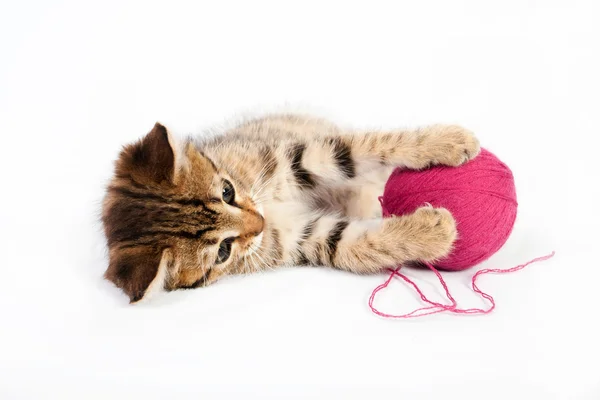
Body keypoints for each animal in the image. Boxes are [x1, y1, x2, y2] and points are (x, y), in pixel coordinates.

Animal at [102, 114, 478, 302]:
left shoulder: (294, 157)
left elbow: (361, 147)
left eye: (227, 191)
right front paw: (434, 231)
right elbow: (358, 245)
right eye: (222, 251)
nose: (260, 223)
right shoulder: (306, 239)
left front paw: (448, 141)